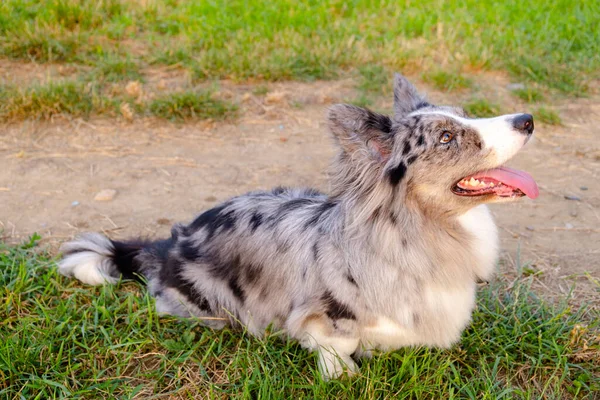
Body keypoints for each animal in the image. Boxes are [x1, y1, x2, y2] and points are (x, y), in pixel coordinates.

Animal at [58, 73, 540, 380]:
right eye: (446, 138)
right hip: (210, 305)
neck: (418, 233)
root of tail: (170, 242)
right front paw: (341, 372)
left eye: (465, 115)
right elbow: (330, 340)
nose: (528, 120)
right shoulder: (322, 313)